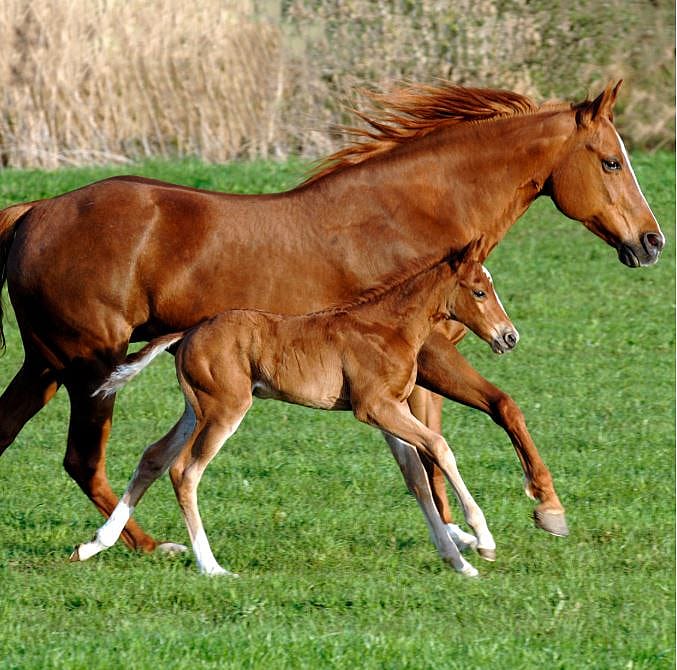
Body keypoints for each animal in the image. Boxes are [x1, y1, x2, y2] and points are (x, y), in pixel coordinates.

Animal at [71, 242, 518, 577]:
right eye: (479, 291)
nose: (509, 337)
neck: (389, 327)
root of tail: (189, 332)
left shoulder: (389, 413)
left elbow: (417, 479)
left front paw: (458, 562)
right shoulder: (374, 407)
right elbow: (440, 447)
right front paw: (483, 540)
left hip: (196, 409)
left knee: (154, 457)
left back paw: (94, 545)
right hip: (225, 409)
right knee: (185, 471)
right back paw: (211, 567)